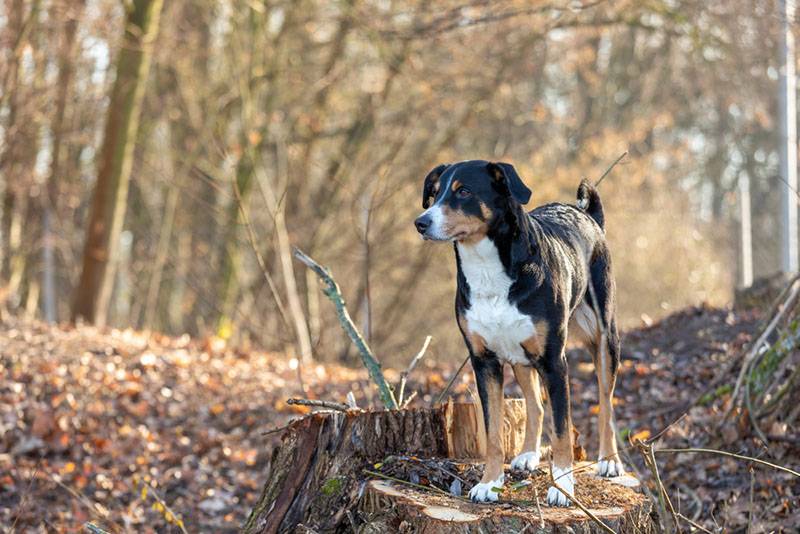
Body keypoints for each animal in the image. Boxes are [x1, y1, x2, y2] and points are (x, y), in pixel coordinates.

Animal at [416, 159, 620, 506]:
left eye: (463, 191)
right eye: (435, 192)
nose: (421, 222)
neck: (487, 270)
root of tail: (586, 214)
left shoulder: (554, 361)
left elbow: (562, 430)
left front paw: (562, 487)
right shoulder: (484, 362)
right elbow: (493, 432)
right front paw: (490, 483)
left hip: (604, 338)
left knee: (606, 402)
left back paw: (608, 460)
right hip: (520, 354)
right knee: (535, 404)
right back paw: (528, 455)